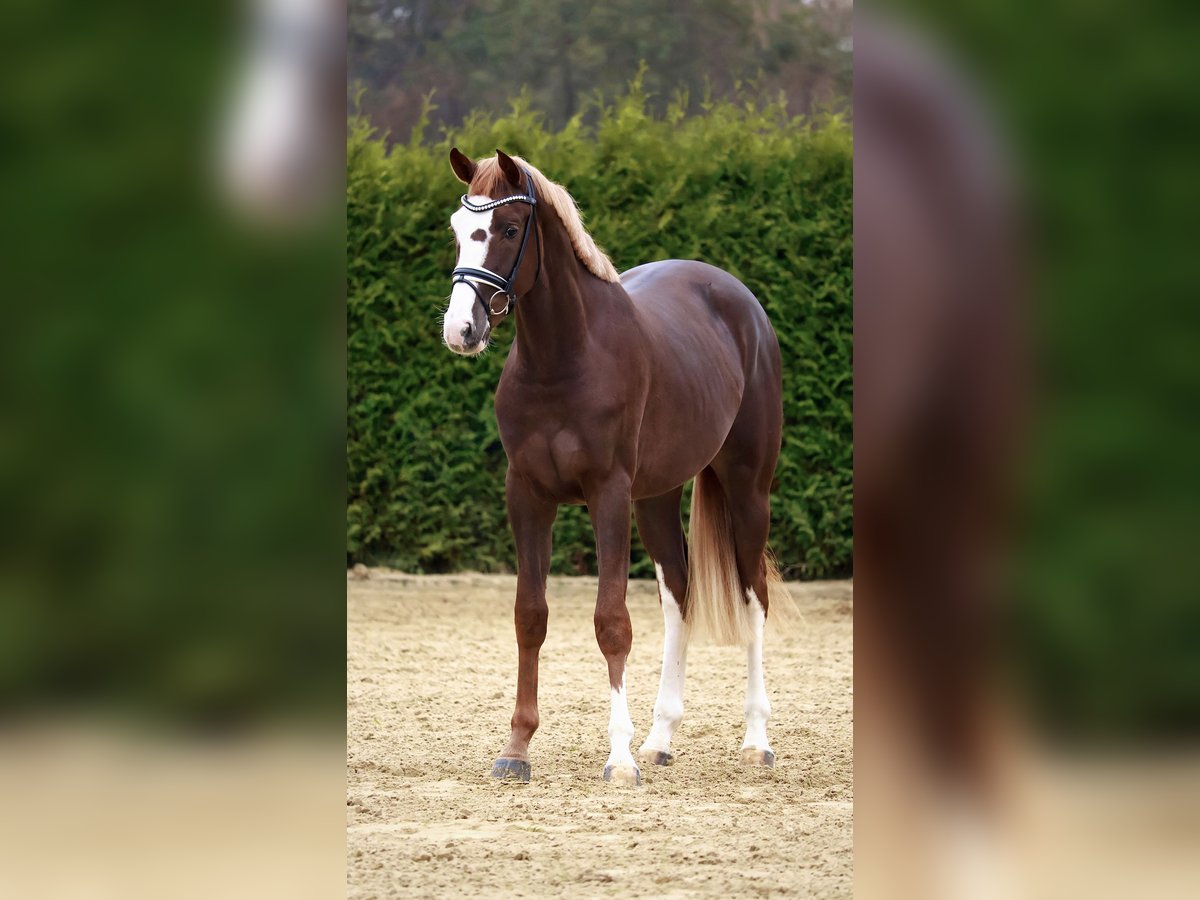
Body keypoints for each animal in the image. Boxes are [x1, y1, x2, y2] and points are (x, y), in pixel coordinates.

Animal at [446, 150, 782, 787]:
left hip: (748, 489)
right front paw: (517, 748)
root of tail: (740, 302)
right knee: (679, 597)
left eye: (508, 229)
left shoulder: (608, 495)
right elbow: (530, 615)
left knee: (754, 597)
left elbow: (611, 621)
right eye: (457, 229)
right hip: (656, 499)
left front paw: (619, 759)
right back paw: (660, 739)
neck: (565, 358)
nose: (461, 330)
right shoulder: (527, 495)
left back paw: (755, 742)